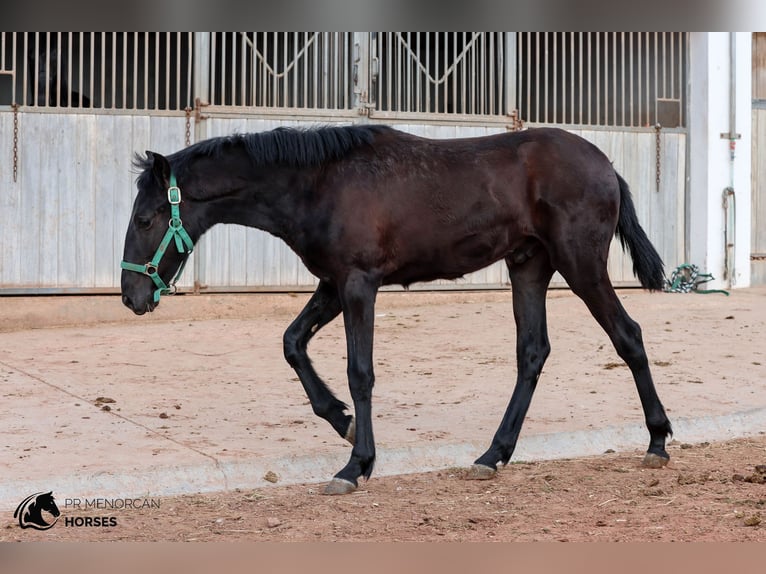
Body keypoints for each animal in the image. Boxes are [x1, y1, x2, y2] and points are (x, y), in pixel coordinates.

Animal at [120, 125, 672, 496]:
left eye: (146, 218)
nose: (131, 296)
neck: (319, 182)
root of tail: (606, 165)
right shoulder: (333, 283)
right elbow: (293, 343)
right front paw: (340, 421)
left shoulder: (358, 283)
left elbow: (359, 372)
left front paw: (355, 465)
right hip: (529, 267)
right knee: (532, 353)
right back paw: (493, 454)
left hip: (581, 265)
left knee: (628, 336)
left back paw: (657, 441)